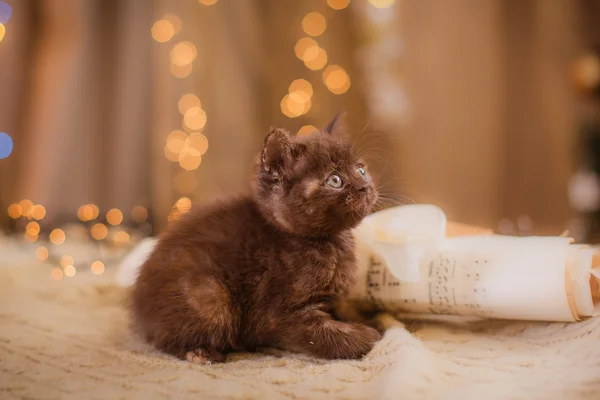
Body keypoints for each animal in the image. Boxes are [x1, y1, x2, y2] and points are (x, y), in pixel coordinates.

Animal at [132, 114, 380, 364]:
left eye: (360, 170)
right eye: (334, 180)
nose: (365, 187)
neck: (332, 243)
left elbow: (347, 311)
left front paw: (371, 320)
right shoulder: (281, 312)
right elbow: (329, 336)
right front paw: (370, 337)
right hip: (210, 295)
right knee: (167, 339)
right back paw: (201, 352)